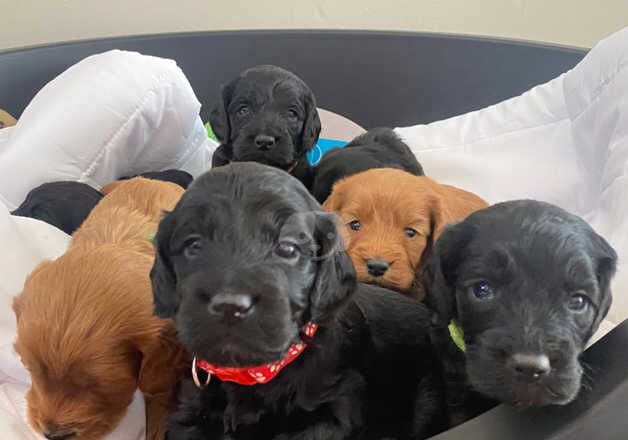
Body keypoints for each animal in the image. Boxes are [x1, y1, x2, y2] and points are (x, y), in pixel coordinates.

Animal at [150, 163, 444, 440]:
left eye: (288, 248)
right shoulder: (190, 412)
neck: (257, 372)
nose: (229, 307)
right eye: (194, 245)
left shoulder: (338, 408)